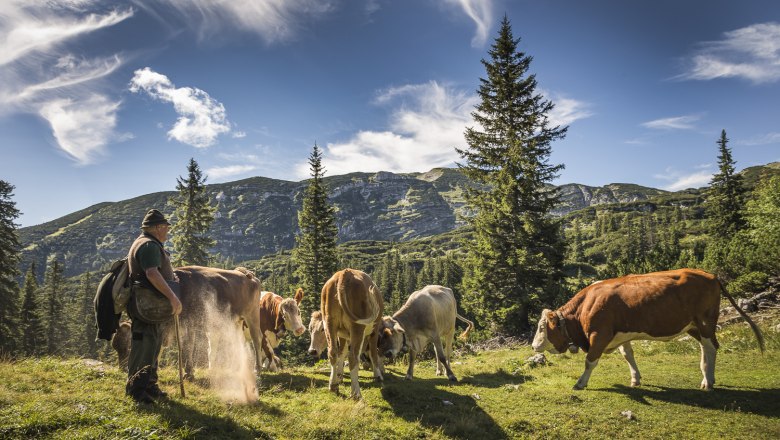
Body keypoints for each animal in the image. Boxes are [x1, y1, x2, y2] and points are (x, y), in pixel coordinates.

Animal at [320, 268, 384, 398]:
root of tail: (345, 273)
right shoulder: (374, 331)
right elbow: (374, 353)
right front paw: (378, 375)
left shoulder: (342, 335)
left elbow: (342, 352)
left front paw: (339, 376)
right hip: (357, 326)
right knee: (353, 356)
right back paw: (356, 393)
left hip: (329, 322)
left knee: (333, 352)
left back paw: (333, 386)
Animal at [532, 270, 764, 390]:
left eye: (542, 327)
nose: (534, 346)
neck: (585, 307)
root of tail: (711, 276)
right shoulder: (620, 333)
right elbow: (628, 355)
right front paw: (635, 379)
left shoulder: (600, 334)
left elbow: (590, 361)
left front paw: (580, 383)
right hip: (693, 325)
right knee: (707, 348)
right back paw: (709, 378)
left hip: (705, 322)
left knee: (711, 347)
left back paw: (707, 381)